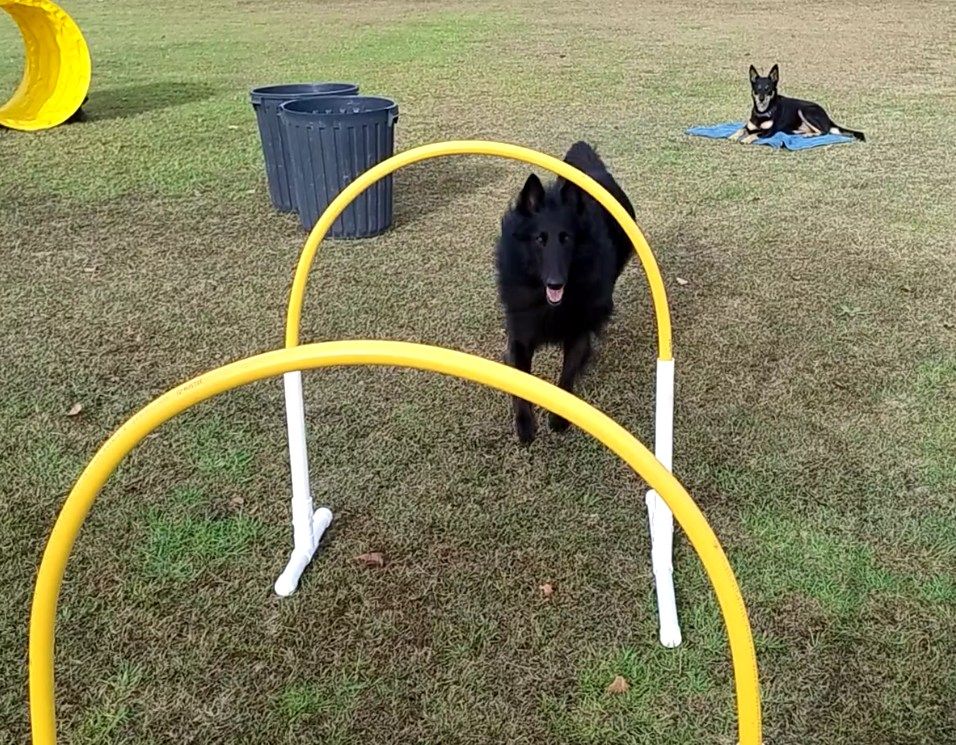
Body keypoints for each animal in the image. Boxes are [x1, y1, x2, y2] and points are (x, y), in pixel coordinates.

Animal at [492, 141, 636, 442]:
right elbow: (519, 378)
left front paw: (559, 417)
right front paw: (525, 425)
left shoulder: (578, 332)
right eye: (540, 239)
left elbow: (567, 375)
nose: (556, 283)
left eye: (566, 238)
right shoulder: (521, 333)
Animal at [732, 66, 868, 145]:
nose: (761, 99)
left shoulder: (769, 131)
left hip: (805, 110)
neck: (763, 112)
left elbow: (756, 134)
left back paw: (809, 135)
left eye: (768, 89)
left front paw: (746, 138)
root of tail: (827, 116)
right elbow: (741, 129)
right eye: (758, 88)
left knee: (824, 132)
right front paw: (733, 135)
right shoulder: (749, 126)